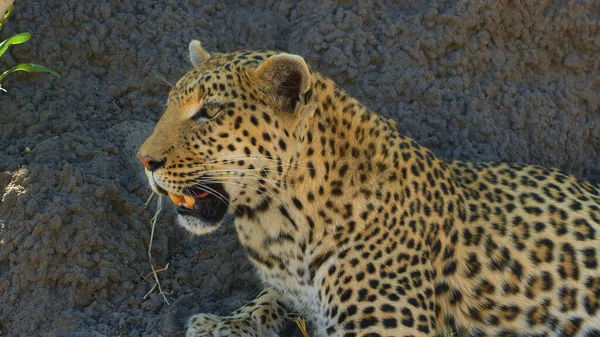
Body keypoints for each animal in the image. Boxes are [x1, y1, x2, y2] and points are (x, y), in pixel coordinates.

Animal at [138, 40, 600, 334]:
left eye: (209, 112)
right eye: (168, 106)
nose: (144, 160)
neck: (278, 222)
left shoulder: (388, 328)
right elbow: (268, 297)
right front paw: (224, 323)